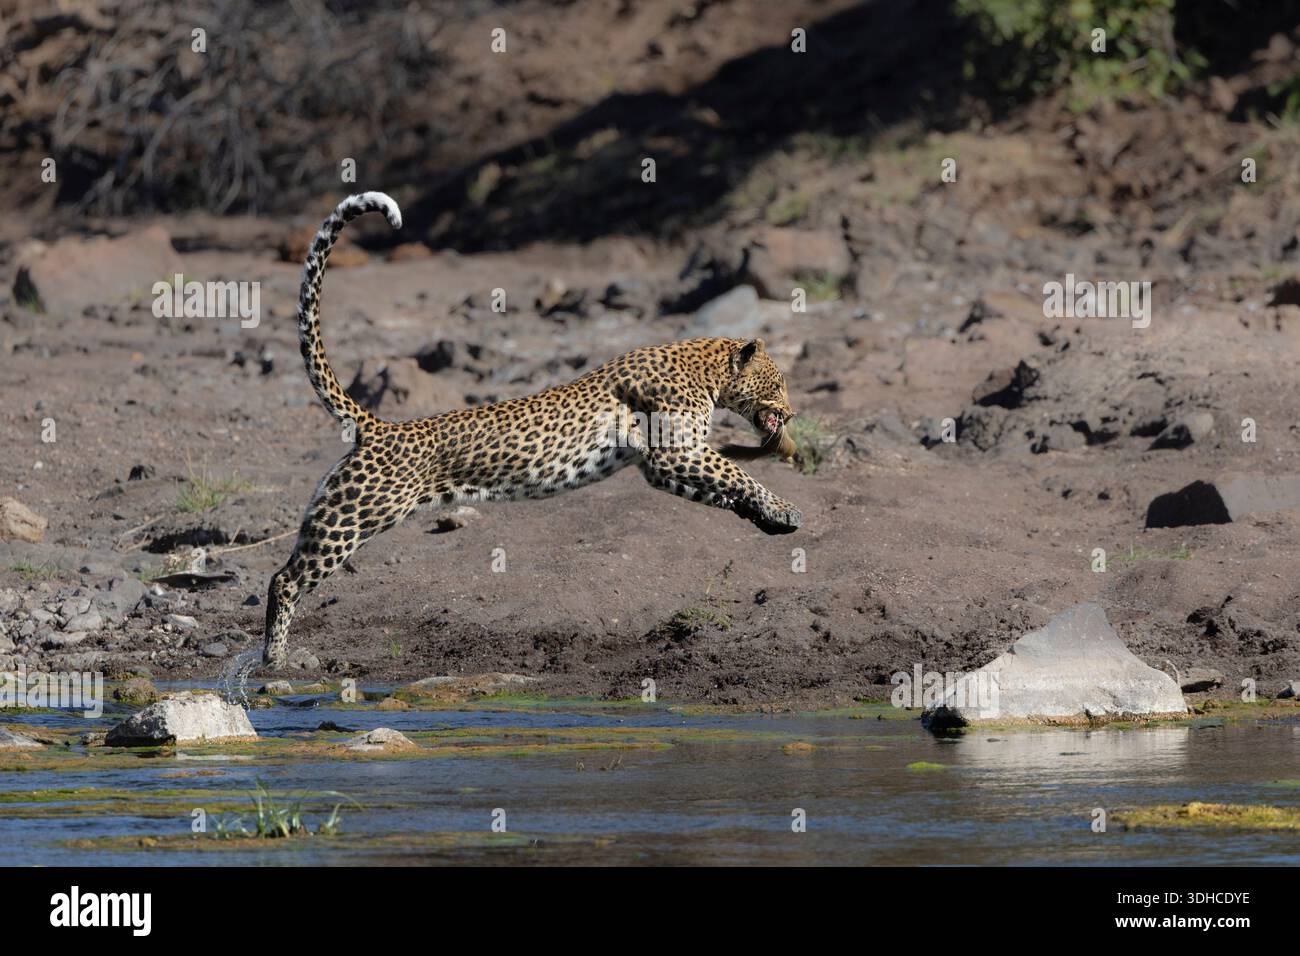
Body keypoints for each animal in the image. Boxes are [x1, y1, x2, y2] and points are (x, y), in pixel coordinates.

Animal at [262, 191, 803, 670]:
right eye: (778, 382)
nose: (793, 415)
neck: (706, 370)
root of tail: (378, 426)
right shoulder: (677, 450)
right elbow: (737, 472)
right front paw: (782, 505)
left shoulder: (658, 465)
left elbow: (720, 488)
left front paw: (767, 519)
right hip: (352, 516)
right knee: (283, 581)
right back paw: (276, 662)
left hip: (331, 511)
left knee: (282, 573)